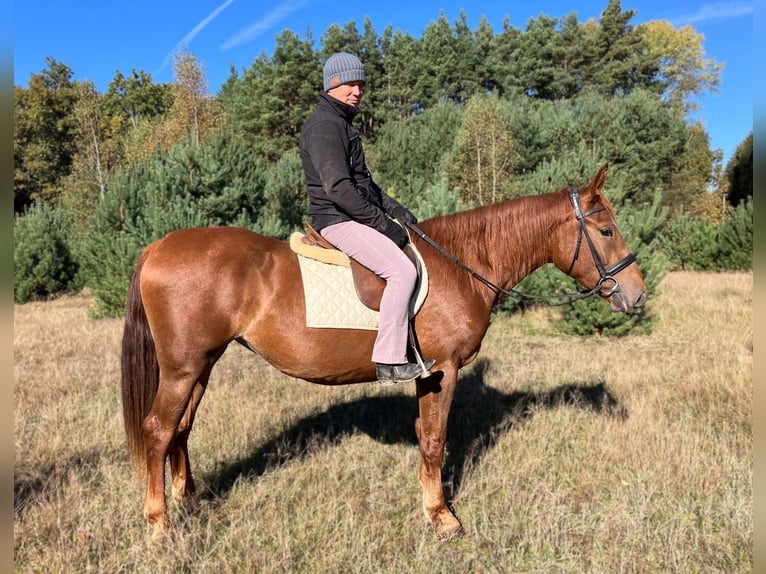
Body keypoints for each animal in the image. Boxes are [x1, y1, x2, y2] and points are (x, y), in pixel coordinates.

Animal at [121, 165, 646, 540]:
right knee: (158, 429)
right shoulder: (443, 370)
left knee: (181, 429)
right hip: (182, 368)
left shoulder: (427, 375)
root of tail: (157, 246)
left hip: (201, 365)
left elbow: (425, 436)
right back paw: (159, 525)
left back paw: (187, 502)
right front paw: (442, 517)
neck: (462, 264)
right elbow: (434, 440)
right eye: (605, 232)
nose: (637, 295)